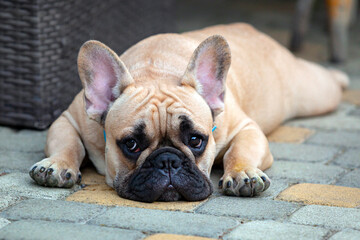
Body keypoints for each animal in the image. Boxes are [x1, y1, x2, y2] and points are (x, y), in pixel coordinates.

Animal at [29, 23, 348, 202]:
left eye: (196, 140)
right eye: (131, 145)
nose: (168, 161)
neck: (154, 71)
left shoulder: (247, 128)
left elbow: (239, 151)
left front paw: (243, 174)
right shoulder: (68, 119)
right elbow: (68, 144)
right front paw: (55, 165)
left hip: (314, 92)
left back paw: (342, 77)